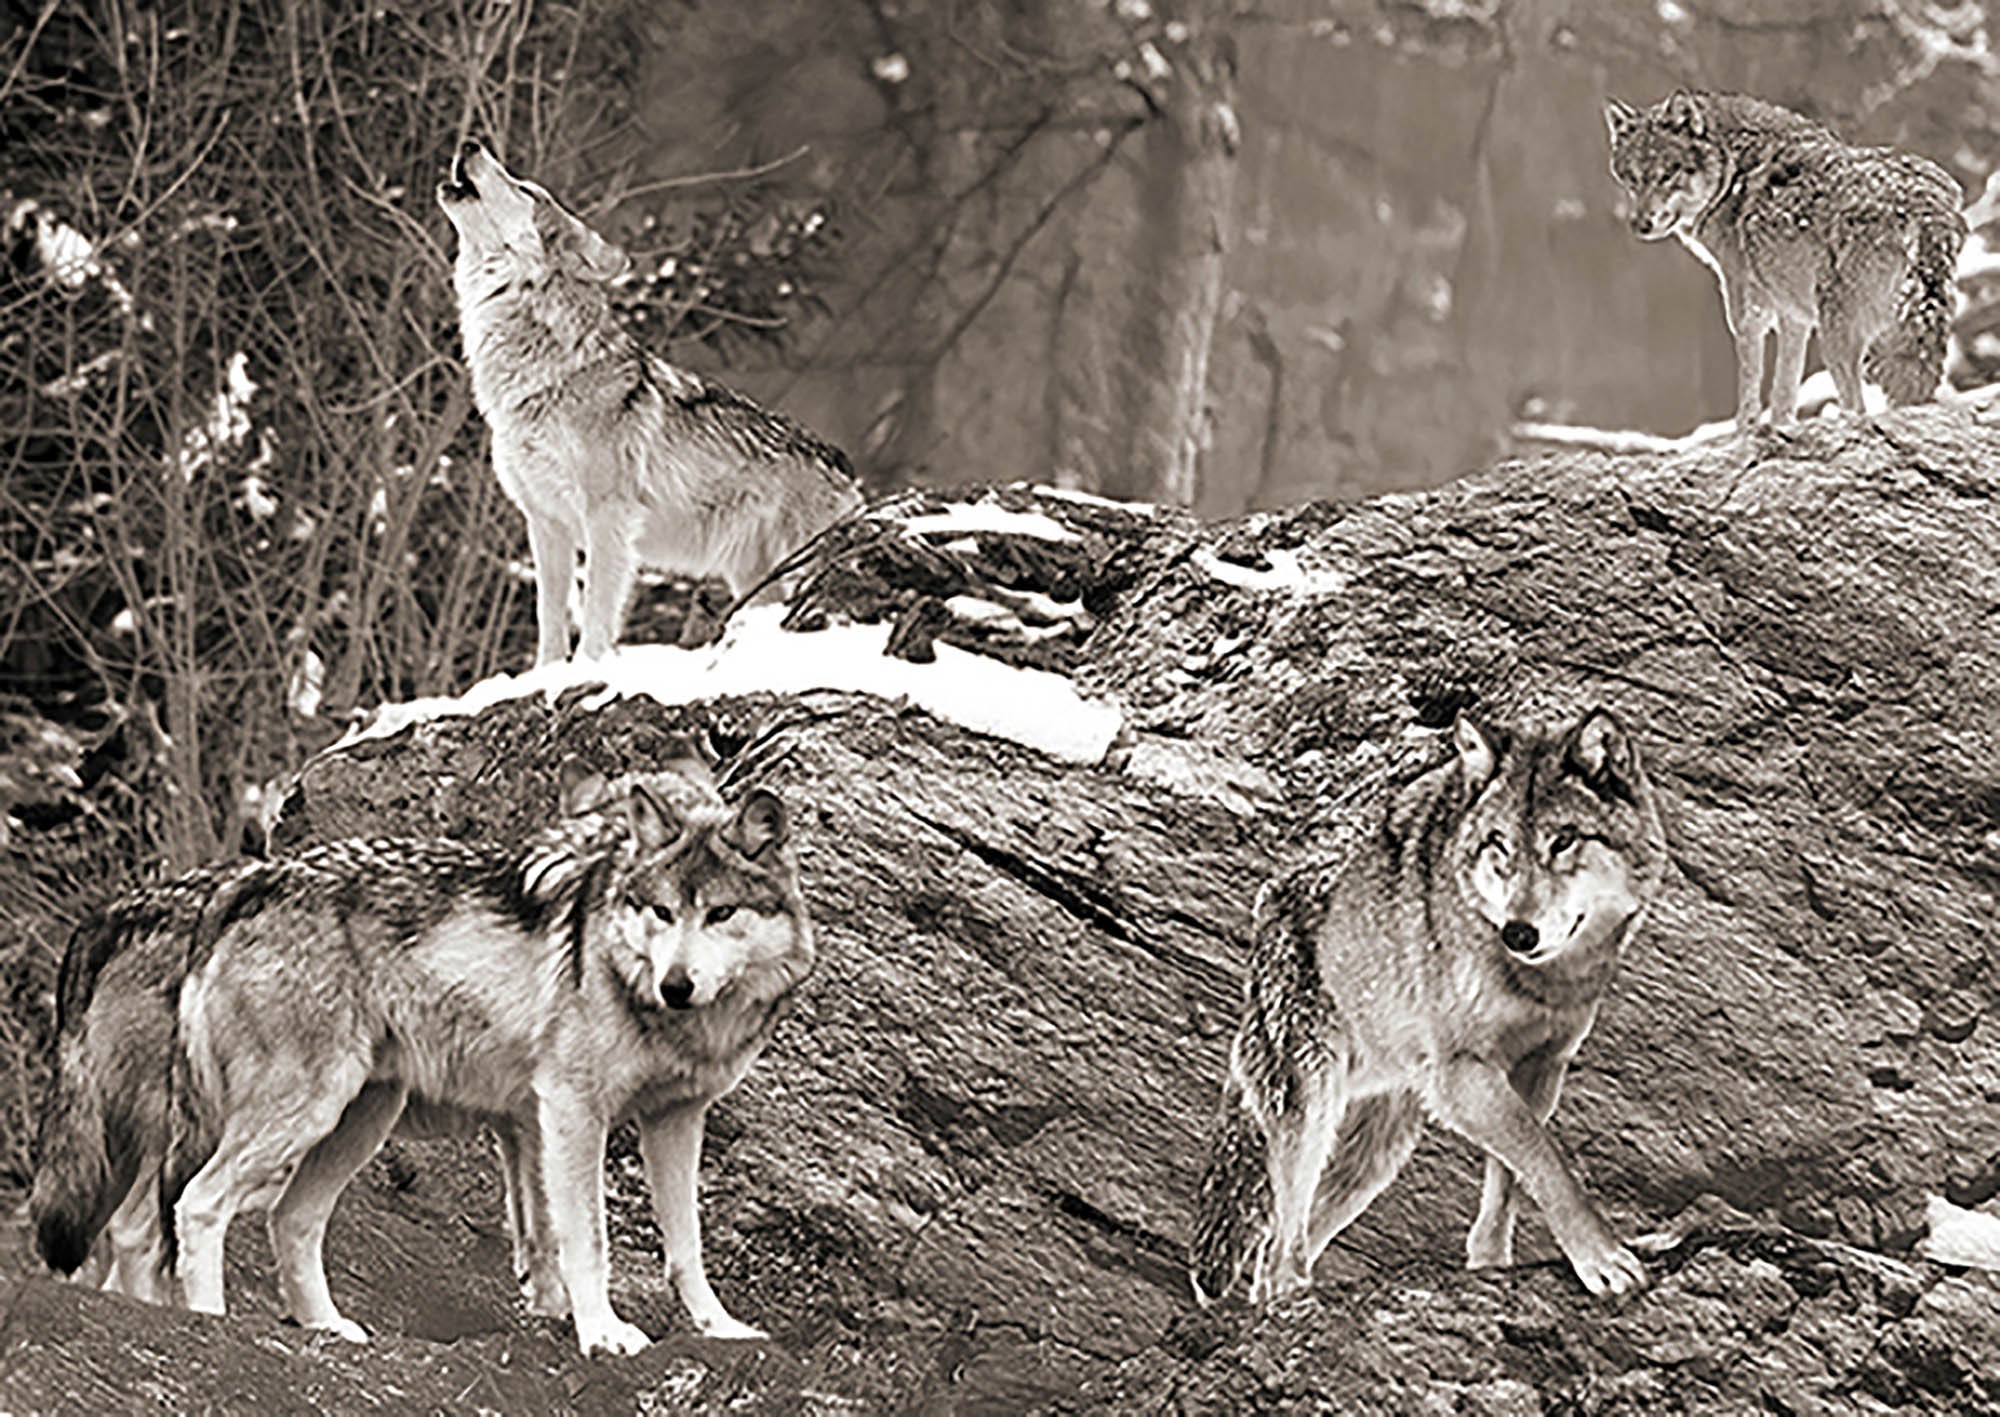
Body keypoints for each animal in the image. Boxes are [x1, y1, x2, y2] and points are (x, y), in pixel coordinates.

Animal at [436, 139, 863, 665]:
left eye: (523, 188)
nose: (470, 142)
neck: (549, 372)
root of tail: (844, 464)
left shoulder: (607, 516)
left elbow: (597, 610)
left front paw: (589, 667)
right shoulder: (545, 521)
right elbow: (549, 615)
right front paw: (549, 671)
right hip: (752, 579)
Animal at [1190, 708, 1667, 1306]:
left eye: (1563, 841)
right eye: (1499, 845)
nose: (1519, 932)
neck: (1543, 981)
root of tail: (1268, 897)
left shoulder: (1539, 1070)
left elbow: (1511, 1177)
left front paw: (1490, 1263)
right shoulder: (1460, 1075)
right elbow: (1546, 1160)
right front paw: (1602, 1258)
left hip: (1375, 1160)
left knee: (1276, 1251)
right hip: (1313, 1112)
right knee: (1279, 1246)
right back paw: (1291, 1300)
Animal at [1604, 91, 1964, 432]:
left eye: (1668, 174)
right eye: (1632, 179)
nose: (1640, 225)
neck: (1730, 173)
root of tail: (1923, 206)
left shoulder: (1748, 312)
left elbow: (1750, 388)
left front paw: (1746, 432)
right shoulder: (1794, 314)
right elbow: (1784, 391)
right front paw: (1781, 428)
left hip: (1838, 337)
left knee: (1857, 406)